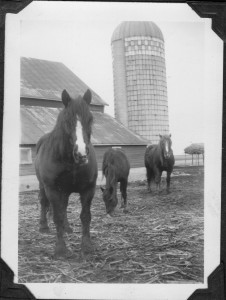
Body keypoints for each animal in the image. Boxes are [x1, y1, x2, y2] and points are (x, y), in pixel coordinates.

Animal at [34, 89, 96, 258]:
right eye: (67, 121)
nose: (81, 154)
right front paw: (61, 249)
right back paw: (43, 227)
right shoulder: (53, 190)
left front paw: (87, 246)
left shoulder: (88, 189)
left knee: (64, 206)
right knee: (44, 202)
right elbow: (57, 217)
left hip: (65, 191)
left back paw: (67, 228)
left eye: (90, 119)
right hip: (43, 186)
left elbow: (85, 216)